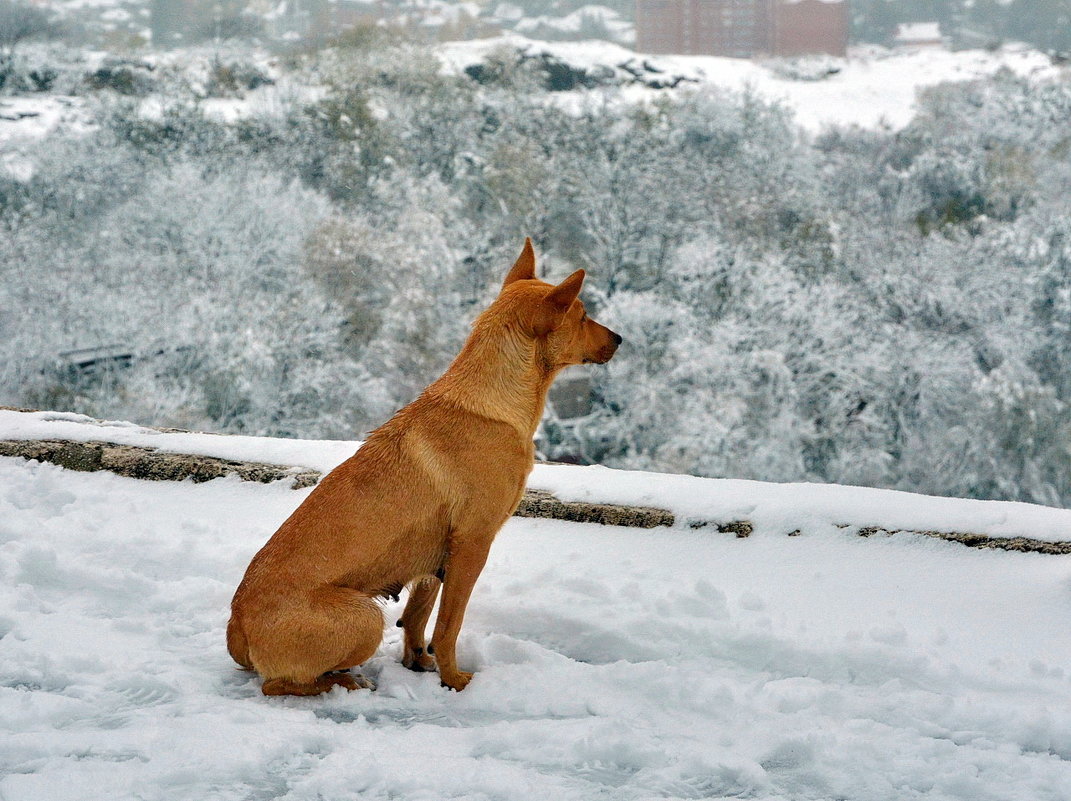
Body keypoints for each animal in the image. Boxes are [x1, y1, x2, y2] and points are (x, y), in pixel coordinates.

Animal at [230, 239, 625, 693]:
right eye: (582, 315)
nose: (619, 338)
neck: (492, 400)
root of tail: (237, 626)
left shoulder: (435, 562)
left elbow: (418, 618)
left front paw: (418, 663)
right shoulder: (472, 545)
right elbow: (448, 626)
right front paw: (454, 680)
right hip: (365, 616)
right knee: (278, 684)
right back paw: (345, 683)